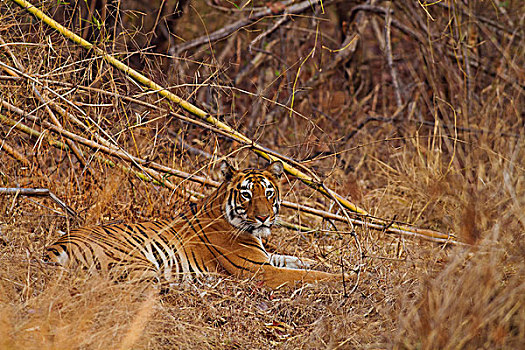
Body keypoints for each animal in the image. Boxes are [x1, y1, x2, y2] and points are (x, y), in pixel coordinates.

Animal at [45, 161, 348, 288]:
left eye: (269, 193)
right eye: (247, 195)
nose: (264, 217)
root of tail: (55, 246)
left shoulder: (267, 257)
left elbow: (301, 261)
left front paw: (346, 267)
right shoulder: (259, 270)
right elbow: (311, 276)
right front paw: (348, 280)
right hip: (139, 266)